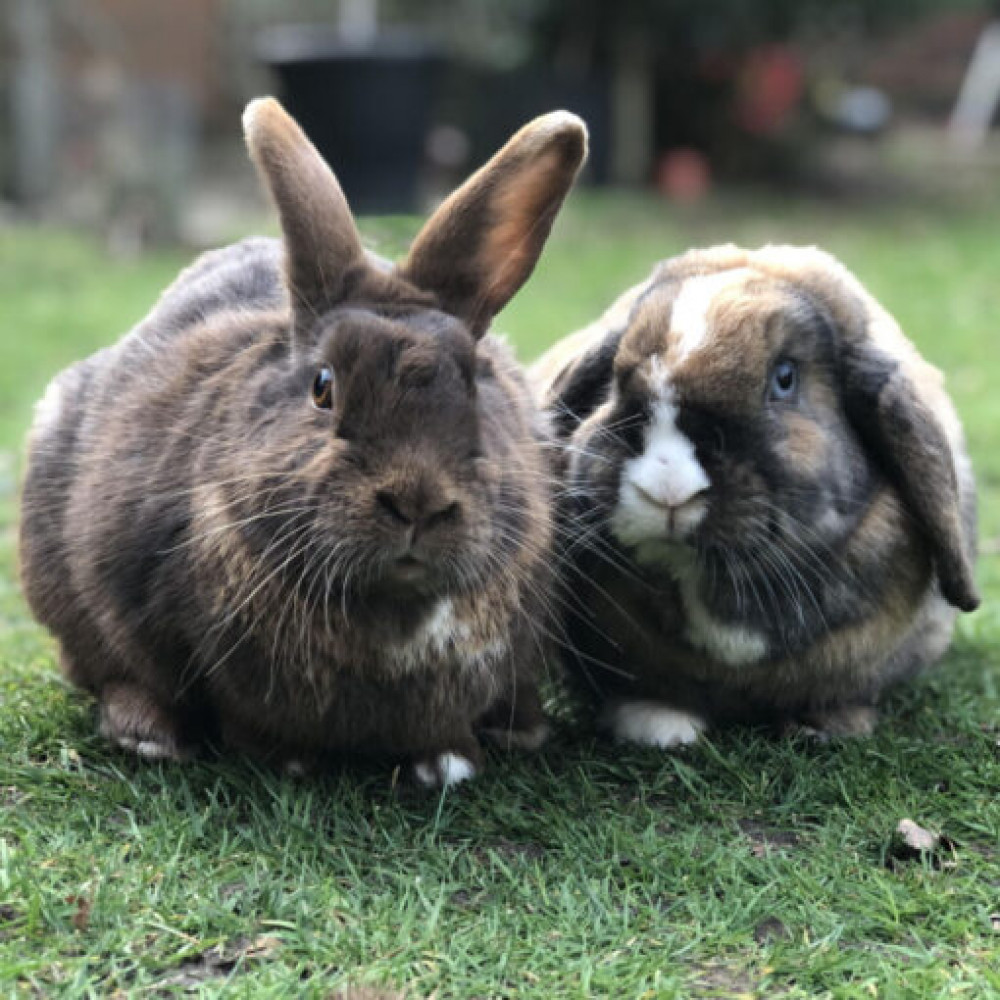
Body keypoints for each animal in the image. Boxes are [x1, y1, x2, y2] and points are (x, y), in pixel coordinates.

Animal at [19, 97, 584, 784]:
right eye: (323, 388)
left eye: (477, 379)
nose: (417, 502)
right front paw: (289, 759)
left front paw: (446, 764)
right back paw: (149, 737)